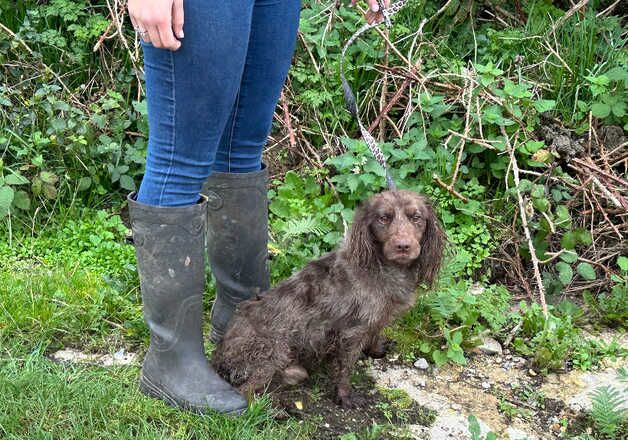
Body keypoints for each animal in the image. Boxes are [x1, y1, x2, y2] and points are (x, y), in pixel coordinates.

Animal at [213, 191, 444, 408]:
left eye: (416, 217)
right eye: (383, 218)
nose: (403, 246)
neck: (381, 267)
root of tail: (220, 354)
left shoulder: (375, 320)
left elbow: (375, 333)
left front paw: (376, 350)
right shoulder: (352, 333)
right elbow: (345, 369)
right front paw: (344, 397)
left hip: (294, 371)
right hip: (272, 355)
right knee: (245, 393)